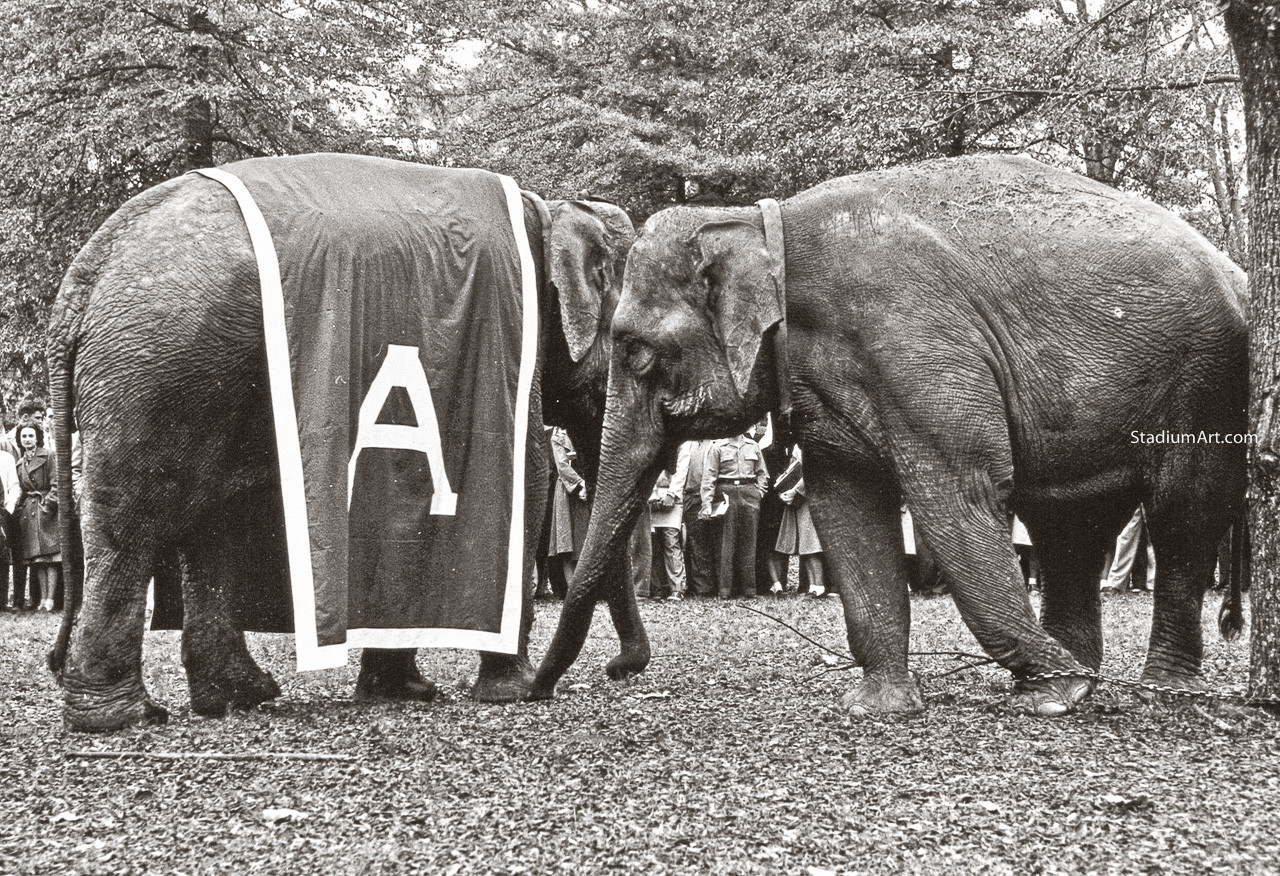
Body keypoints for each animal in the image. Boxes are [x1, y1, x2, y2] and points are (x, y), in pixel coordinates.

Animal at [45, 157, 634, 732]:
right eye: (626, 341)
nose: (621, 668)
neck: (552, 209)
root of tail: (83, 276)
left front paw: (404, 691)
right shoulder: (507, 347)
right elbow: (529, 472)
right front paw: (511, 692)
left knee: (207, 517)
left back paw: (235, 698)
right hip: (158, 367)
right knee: (135, 521)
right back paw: (122, 716)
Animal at [532, 153, 1249, 717]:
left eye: (636, 352)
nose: (545, 688)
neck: (764, 229)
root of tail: (1237, 272)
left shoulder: (914, 341)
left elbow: (957, 494)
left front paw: (1061, 689)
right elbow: (847, 509)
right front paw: (879, 707)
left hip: (1203, 379)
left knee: (1181, 514)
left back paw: (1145, 687)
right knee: (1069, 525)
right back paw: (1070, 676)